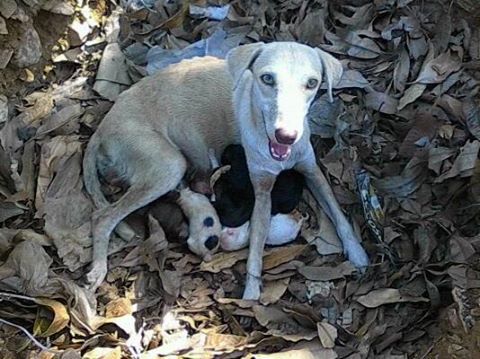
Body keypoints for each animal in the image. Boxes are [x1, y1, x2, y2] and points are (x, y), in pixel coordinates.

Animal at [82, 41, 370, 300]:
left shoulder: (312, 171)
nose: (286, 136)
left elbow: (339, 215)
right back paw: (98, 269)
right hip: (169, 166)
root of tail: (102, 127)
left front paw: (357, 253)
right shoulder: (262, 194)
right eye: (267, 78)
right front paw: (251, 294)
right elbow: (255, 252)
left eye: (311, 83)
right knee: (102, 217)